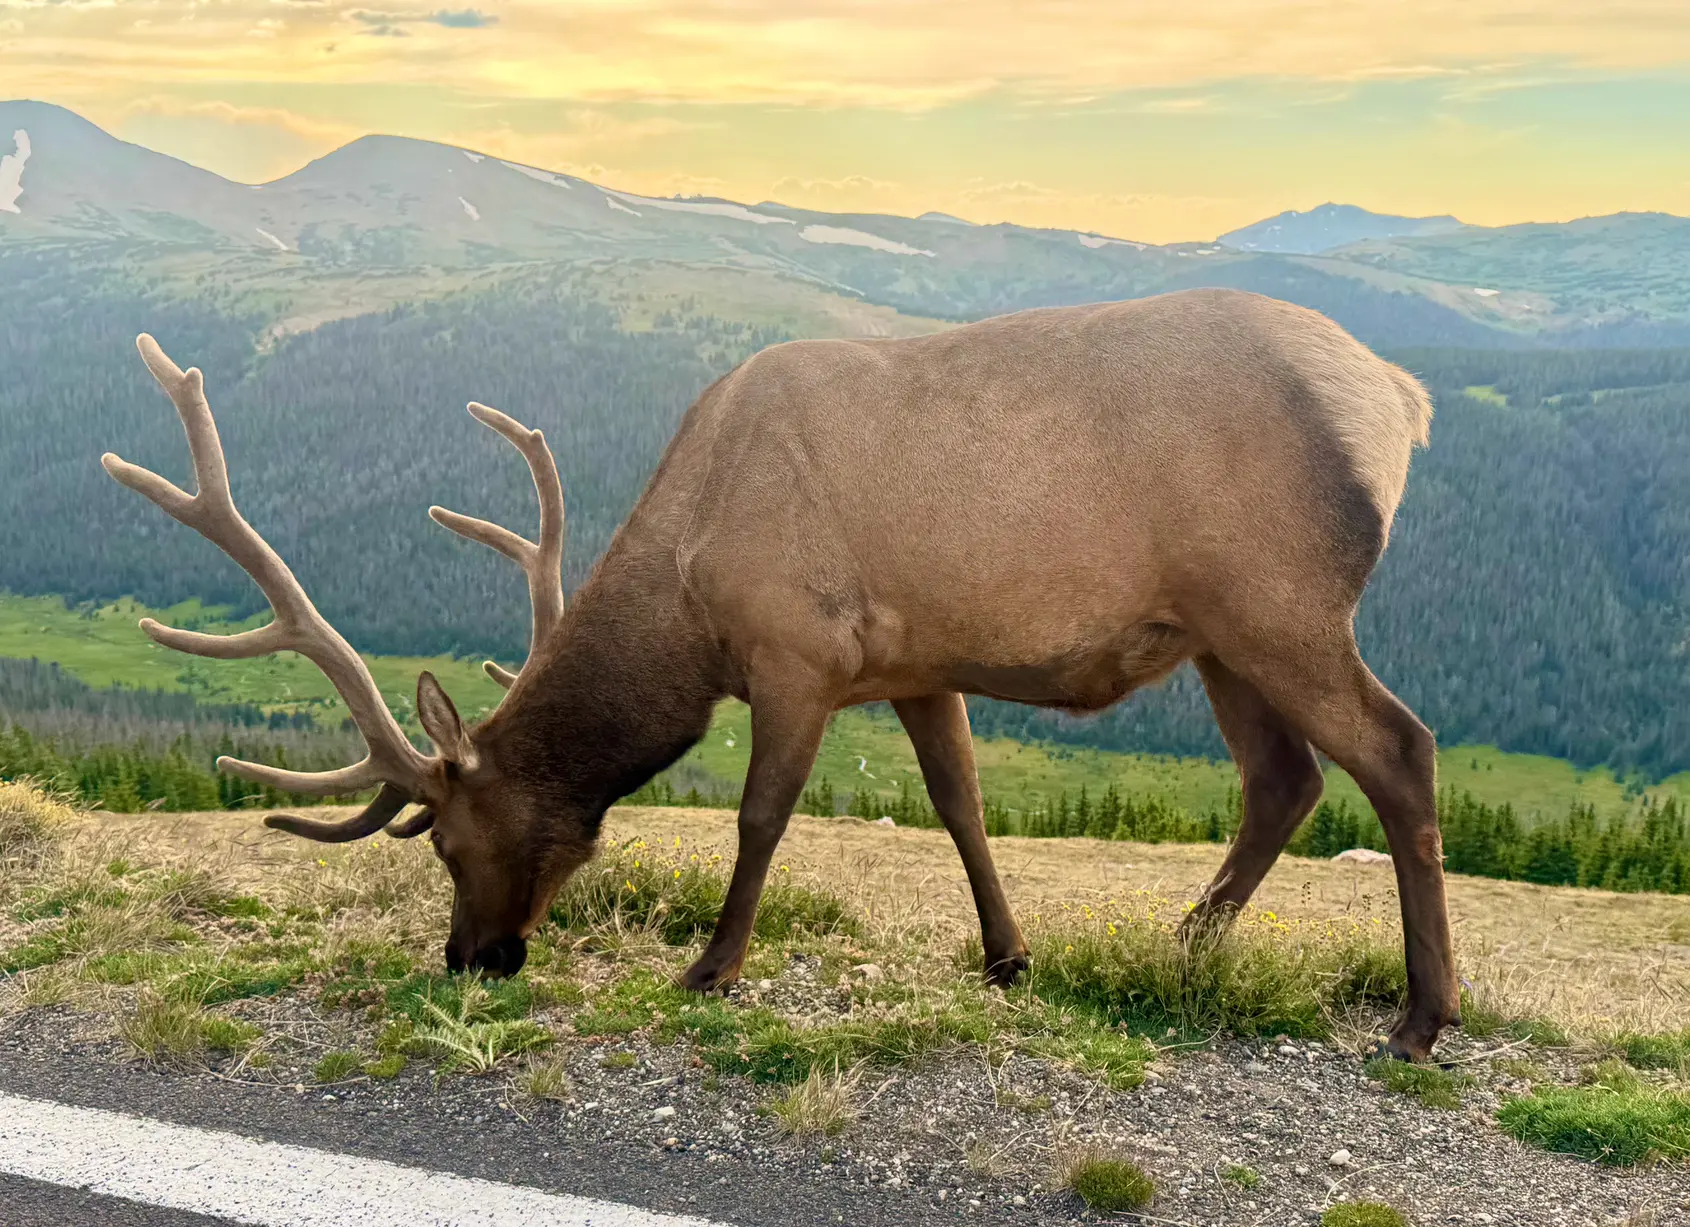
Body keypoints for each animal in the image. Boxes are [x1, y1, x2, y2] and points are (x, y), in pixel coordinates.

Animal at [105, 287, 1458, 1062]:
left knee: (1398, 749)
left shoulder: (795, 654)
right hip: (1218, 633)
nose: (469, 958)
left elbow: (762, 816)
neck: (690, 596)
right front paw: (1009, 957)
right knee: (1283, 780)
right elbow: (961, 806)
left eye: (442, 842)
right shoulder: (915, 661)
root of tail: (1400, 399)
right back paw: (1181, 947)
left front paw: (711, 966)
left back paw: (1421, 1017)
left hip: (1277, 600)